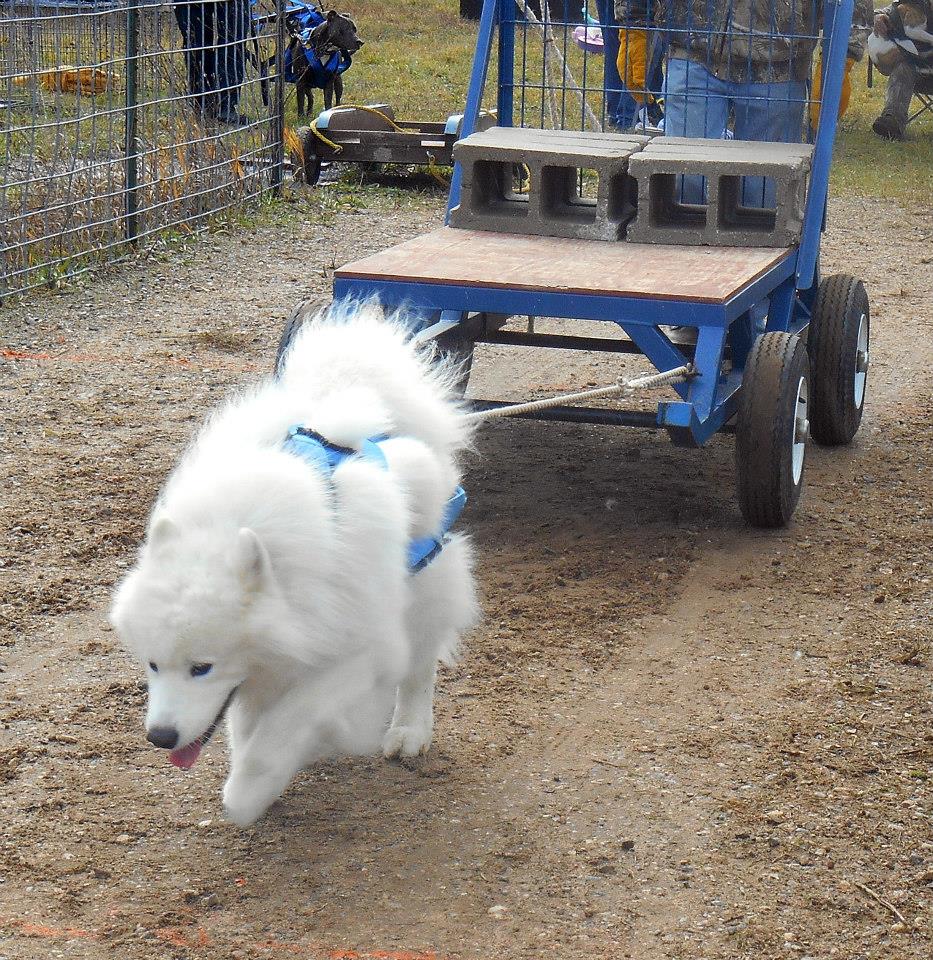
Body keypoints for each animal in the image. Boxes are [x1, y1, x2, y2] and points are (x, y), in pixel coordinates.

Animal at [111, 300, 480, 824]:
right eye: (152, 665)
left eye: (201, 668)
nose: (159, 737)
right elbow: (248, 726)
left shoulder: (363, 649)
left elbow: (284, 727)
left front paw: (248, 792)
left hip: (424, 586)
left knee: (421, 665)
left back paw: (409, 731)